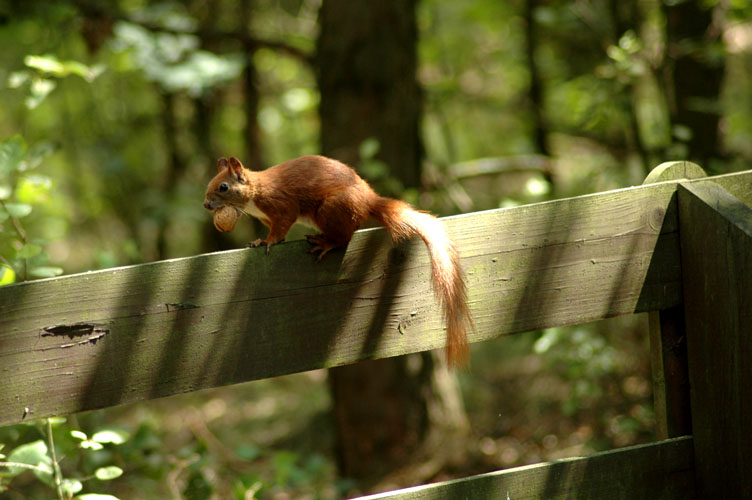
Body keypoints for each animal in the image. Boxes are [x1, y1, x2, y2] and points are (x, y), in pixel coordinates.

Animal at [203, 154, 472, 366]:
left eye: (223, 187)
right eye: (210, 184)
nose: (206, 204)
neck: (253, 197)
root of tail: (368, 200)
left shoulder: (281, 204)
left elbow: (281, 228)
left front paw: (267, 242)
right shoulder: (267, 217)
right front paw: (260, 240)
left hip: (330, 209)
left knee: (345, 236)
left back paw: (327, 243)